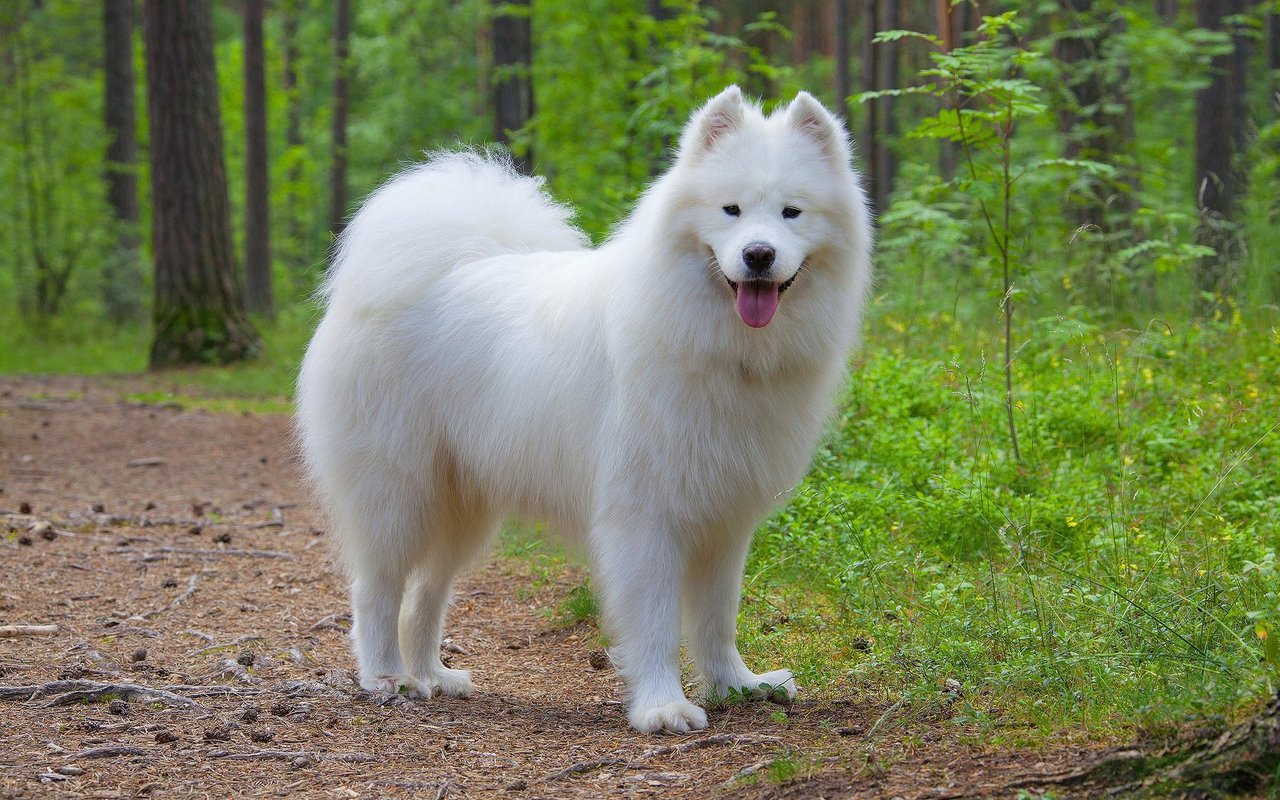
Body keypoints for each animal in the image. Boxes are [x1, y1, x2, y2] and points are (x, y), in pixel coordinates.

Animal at [298, 85, 875, 732]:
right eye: (730, 210)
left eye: (791, 213)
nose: (757, 254)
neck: (718, 345)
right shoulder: (644, 515)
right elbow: (655, 622)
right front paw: (662, 706)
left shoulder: (724, 518)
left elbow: (716, 618)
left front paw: (737, 685)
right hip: (397, 494)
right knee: (376, 590)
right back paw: (386, 677)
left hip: (464, 507)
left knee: (426, 595)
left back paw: (433, 675)